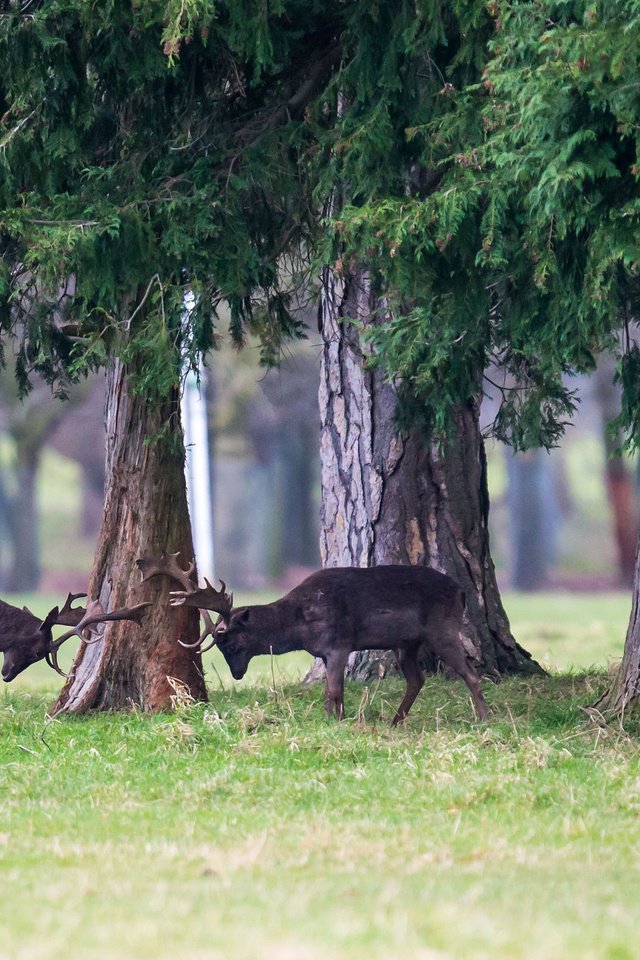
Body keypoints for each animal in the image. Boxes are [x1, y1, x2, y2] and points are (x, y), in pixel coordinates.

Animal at [140, 552, 488, 724]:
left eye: (230, 642)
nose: (237, 674)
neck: (300, 625)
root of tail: (461, 592)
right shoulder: (324, 651)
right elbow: (333, 691)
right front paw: (337, 719)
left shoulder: (338, 644)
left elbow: (332, 690)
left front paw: (335, 722)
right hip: (406, 643)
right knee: (417, 679)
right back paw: (395, 721)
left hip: (442, 629)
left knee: (470, 672)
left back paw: (483, 719)